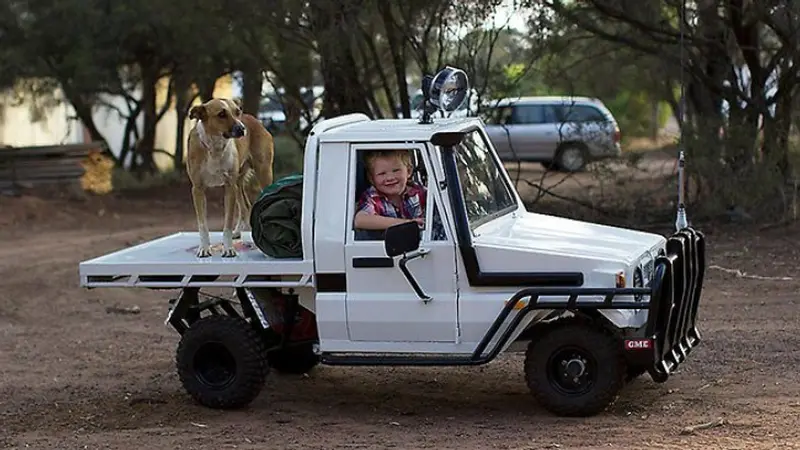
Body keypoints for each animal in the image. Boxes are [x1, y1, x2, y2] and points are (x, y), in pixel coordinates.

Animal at [187, 99, 276, 258]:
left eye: (237, 112)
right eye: (221, 114)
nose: (242, 129)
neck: (215, 148)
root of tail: (255, 120)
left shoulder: (229, 187)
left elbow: (227, 224)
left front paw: (228, 248)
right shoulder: (197, 189)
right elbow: (202, 225)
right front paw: (204, 248)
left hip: (262, 174)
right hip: (238, 184)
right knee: (245, 207)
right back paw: (238, 232)